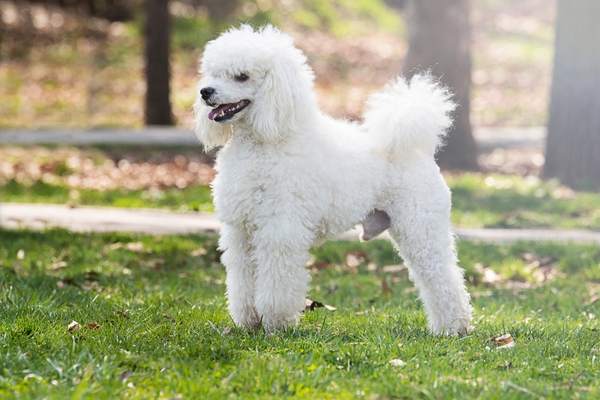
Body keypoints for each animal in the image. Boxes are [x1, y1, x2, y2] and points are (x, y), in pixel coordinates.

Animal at [195, 25, 472, 334]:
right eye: (212, 73)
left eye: (242, 76)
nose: (205, 91)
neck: (266, 141)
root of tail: (417, 148)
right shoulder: (241, 229)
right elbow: (243, 279)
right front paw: (249, 322)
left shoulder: (280, 230)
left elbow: (278, 281)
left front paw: (276, 324)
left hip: (420, 225)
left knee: (443, 276)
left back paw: (454, 327)